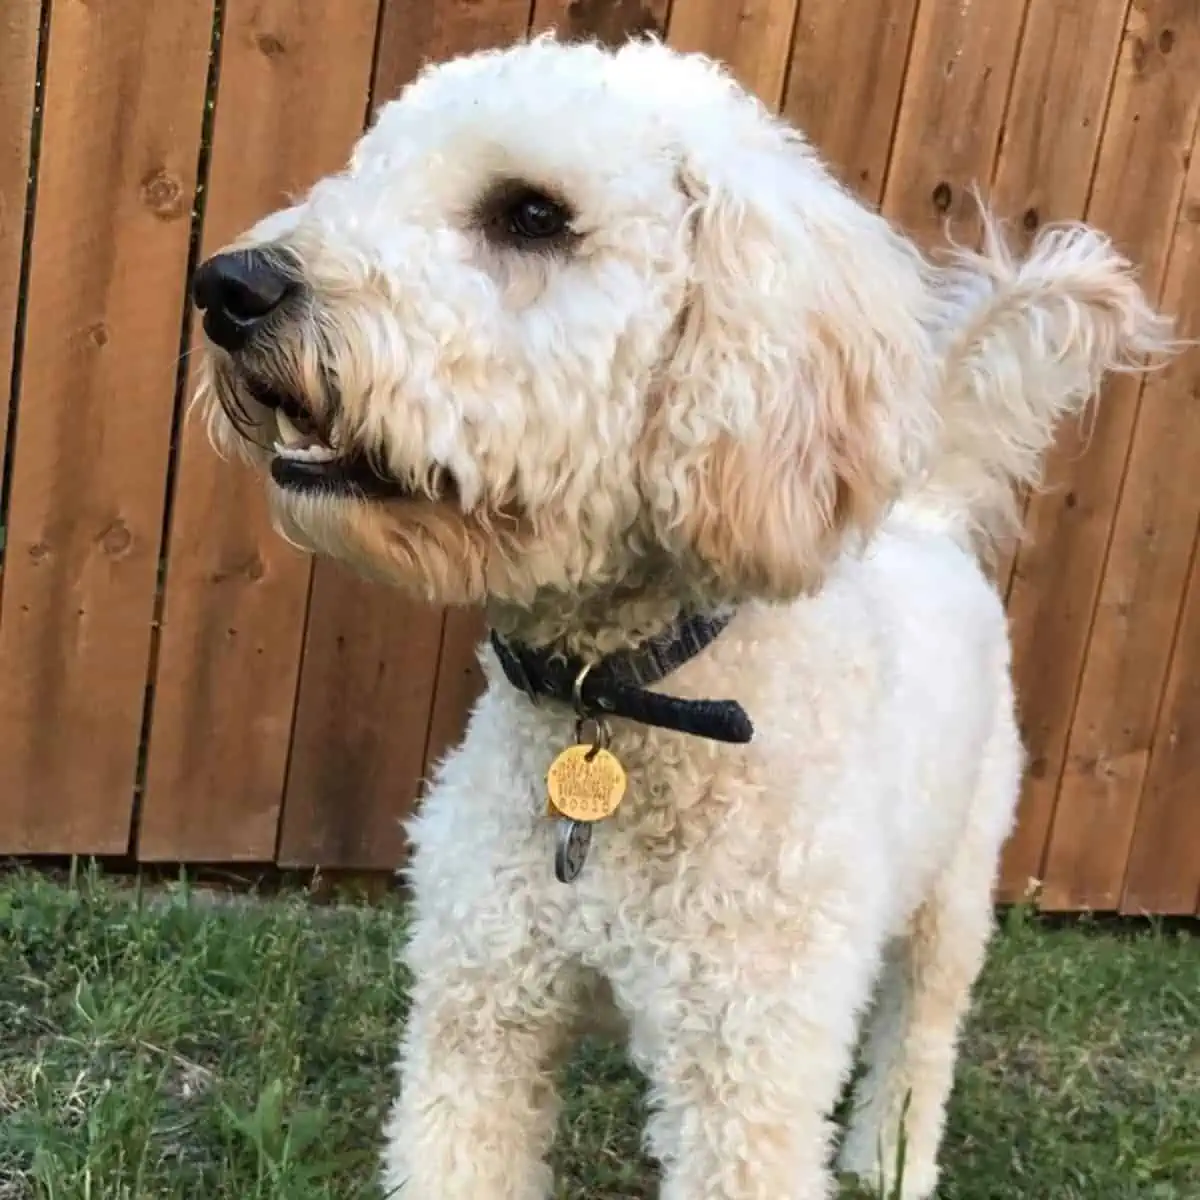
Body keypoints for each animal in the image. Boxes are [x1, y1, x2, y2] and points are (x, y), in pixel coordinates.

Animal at [192, 35, 1176, 1200]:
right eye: (370, 170)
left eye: (532, 214)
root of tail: (928, 512)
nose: (229, 287)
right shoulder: (476, 1019)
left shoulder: (747, 1081)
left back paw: (888, 1159)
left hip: (956, 891)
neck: (620, 703)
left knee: (922, 1040)